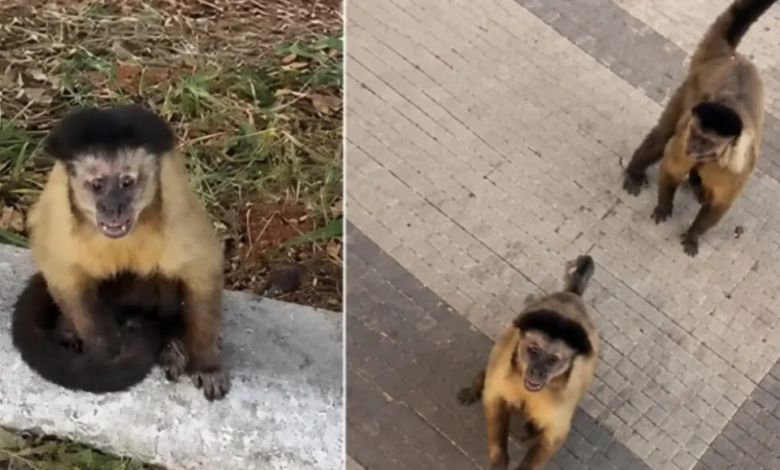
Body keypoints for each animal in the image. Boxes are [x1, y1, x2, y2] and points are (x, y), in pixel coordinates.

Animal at [457, 255, 599, 470]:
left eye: (552, 359)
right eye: (533, 350)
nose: (537, 371)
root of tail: (571, 295)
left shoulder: (564, 394)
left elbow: (554, 435)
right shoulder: (503, 374)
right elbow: (493, 401)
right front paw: (499, 460)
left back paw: (530, 429)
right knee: (488, 375)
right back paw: (475, 387)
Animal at [621, 0, 776, 256]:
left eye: (707, 141)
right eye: (696, 133)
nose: (692, 146)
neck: (715, 156)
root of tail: (730, 56)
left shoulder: (737, 167)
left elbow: (721, 203)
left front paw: (694, 233)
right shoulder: (685, 134)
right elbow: (671, 166)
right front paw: (664, 205)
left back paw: (696, 185)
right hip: (690, 87)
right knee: (664, 134)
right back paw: (636, 170)